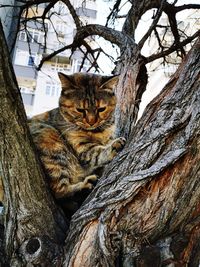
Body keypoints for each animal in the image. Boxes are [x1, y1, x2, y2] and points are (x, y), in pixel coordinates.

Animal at [28, 72, 125, 217]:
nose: (91, 122)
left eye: (101, 109)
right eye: (80, 109)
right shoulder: (83, 148)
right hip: (51, 141)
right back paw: (84, 186)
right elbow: (98, 152)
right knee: (59, 193)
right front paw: (113, 146)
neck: (97, 132)